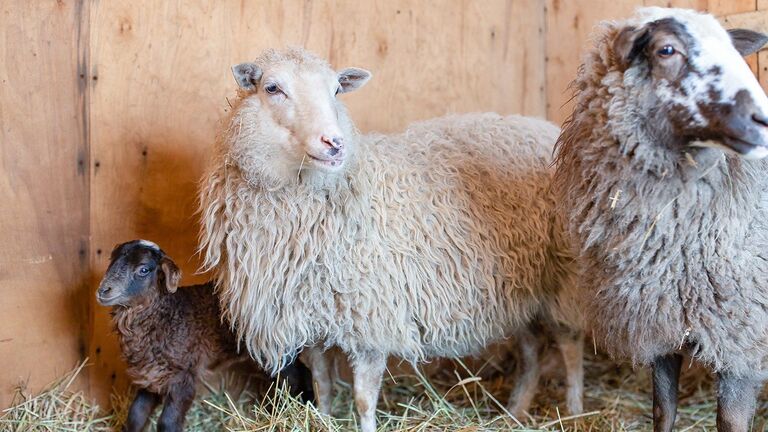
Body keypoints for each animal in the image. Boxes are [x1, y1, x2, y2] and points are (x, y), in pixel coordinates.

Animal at [198, 47, 584, 432]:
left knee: (570, 345)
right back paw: (517, 410)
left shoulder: (373, 317)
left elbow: (364, 399)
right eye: (272, 88)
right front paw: (324, 418)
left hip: (563, 279)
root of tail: (546, 129)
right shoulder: (312, 316)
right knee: (531, 349)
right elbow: (322, 384)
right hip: (523, 284)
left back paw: (576, 409)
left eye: (336, 90)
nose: (334, 144)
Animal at [556, 7, 768, 432]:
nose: (761, 118)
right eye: (666, 50)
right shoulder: (660, 325)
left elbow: (730, 421)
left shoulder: (741, 334)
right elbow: (663, 409)